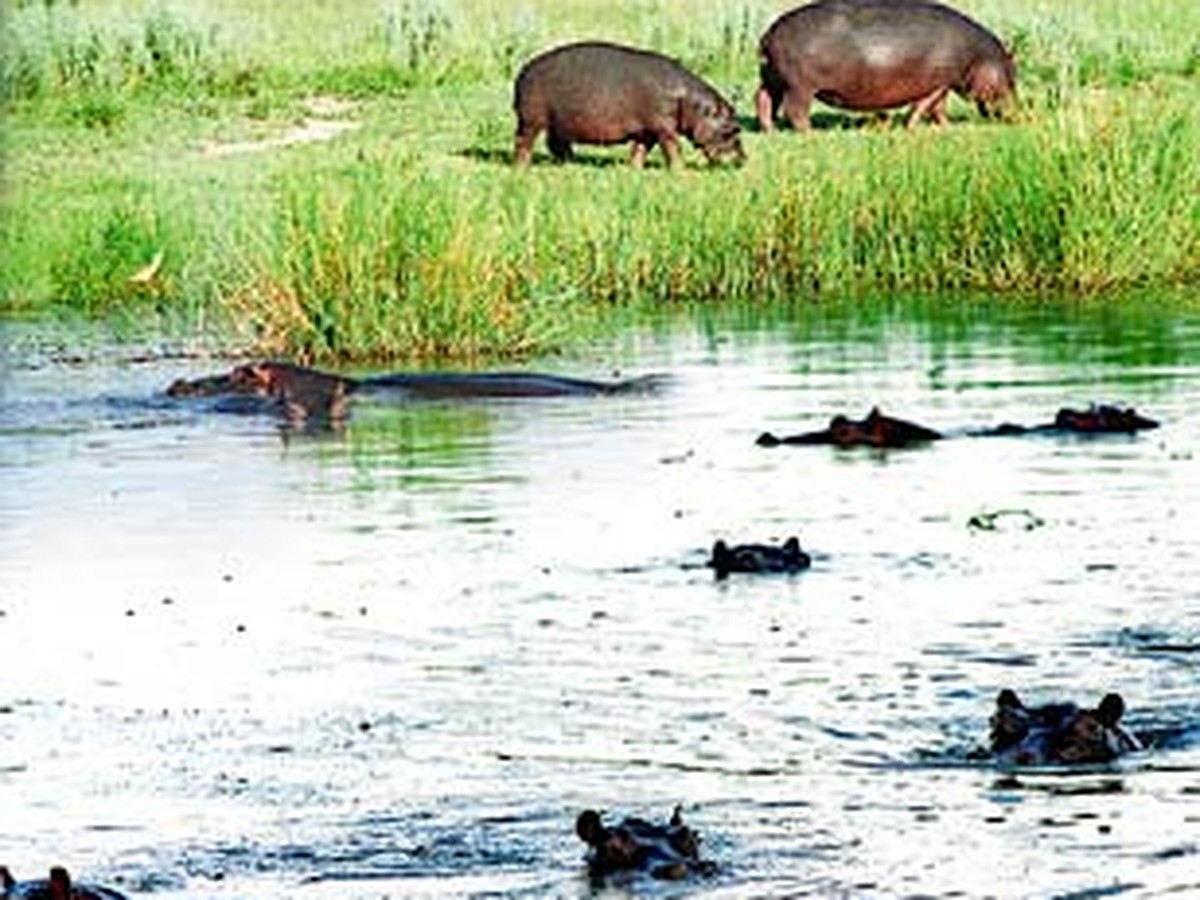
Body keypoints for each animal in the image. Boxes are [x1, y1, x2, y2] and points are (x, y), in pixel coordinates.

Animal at [513, 40, 744, 168]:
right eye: (733, 129)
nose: (743, 160)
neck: (691, 103)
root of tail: (523, 70)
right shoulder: (664, 128)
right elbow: (673, 148)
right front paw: (680, 171)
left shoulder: (648, 131)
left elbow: (640, 150)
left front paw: (634, 169)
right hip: (531, 122)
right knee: (524, 143)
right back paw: (522, 168)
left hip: (559, 123)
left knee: (555, 144)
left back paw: (569, 162)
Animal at [758, 0, 1012, 130]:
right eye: (1013, 76)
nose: (1018, 115)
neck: (981, 56)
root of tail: (769, 33)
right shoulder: (940, 83)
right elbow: (926, 106)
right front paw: (916, 128)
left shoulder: (942, 84)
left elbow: (935, 108)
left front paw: (945, 129)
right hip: (800, 87)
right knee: (795, 111)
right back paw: (810, 134)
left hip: (774, 79)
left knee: (763, 100)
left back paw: (770, 130)